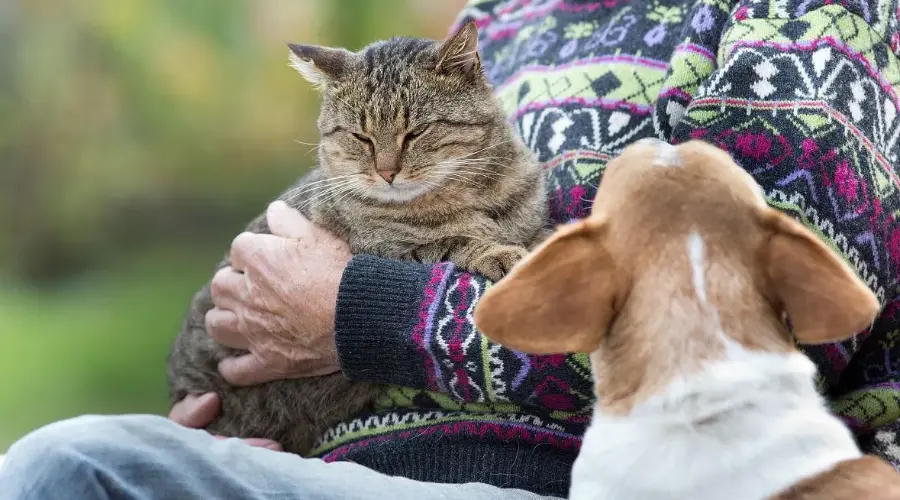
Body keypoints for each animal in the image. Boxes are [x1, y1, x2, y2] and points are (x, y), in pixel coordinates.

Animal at [168, 21, 548, 456]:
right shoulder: (385, 250)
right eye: (360, 136)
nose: (386, 172)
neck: (470, 194)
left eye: (415, 132)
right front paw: (497, 251)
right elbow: (451, 242)